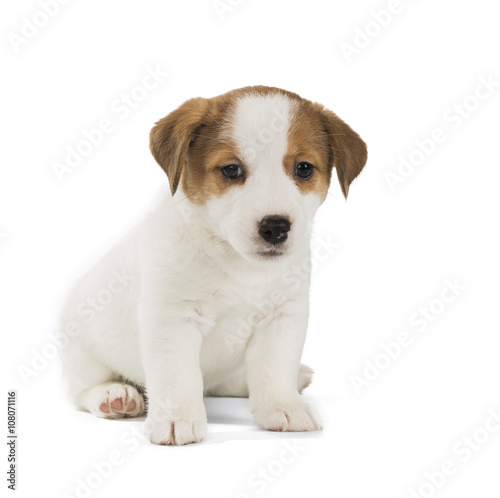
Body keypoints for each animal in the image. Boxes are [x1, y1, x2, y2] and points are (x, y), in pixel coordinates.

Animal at [59, 84, 368, 444]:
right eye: (231, 170)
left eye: (304, 168)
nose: (276, 227)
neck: (238, 264)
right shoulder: (173, 319)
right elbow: (177, 375)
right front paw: (176, 417)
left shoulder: (283, 317)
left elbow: (275, 368)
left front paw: (282, 405)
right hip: (82, 352)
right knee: (81, 390)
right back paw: (113, 395)